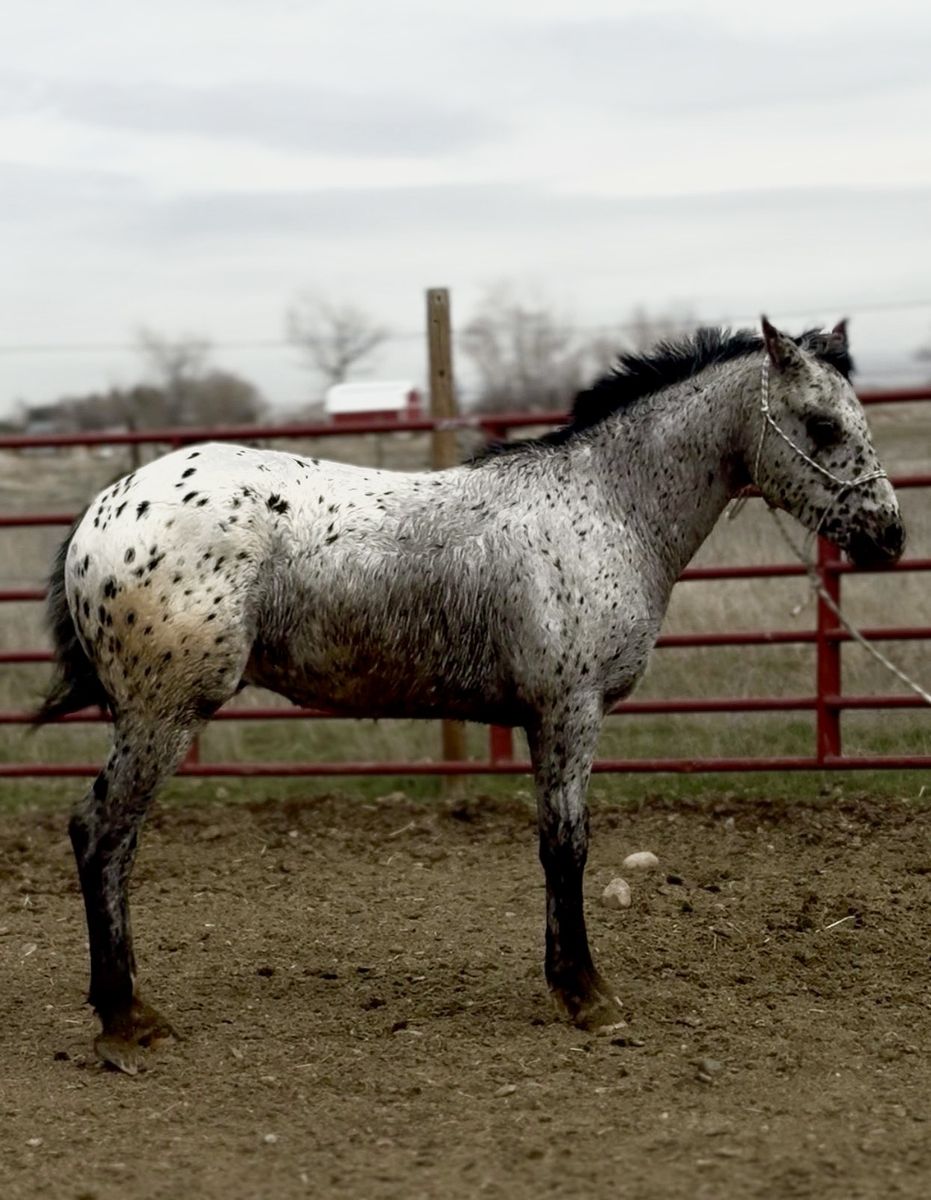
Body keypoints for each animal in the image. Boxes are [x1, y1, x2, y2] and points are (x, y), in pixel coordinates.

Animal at [37, 317, 905, 1073]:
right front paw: (589, 996)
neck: (606, 507)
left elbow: (554, 847)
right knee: (102, 834)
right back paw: (126, 1020)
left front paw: (566, 982)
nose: (889, 536)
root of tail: (100, 514)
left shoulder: (542, 721)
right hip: (163, 716)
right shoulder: (569, 713)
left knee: (112, 840)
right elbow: (566, 847)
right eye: (820, 424)